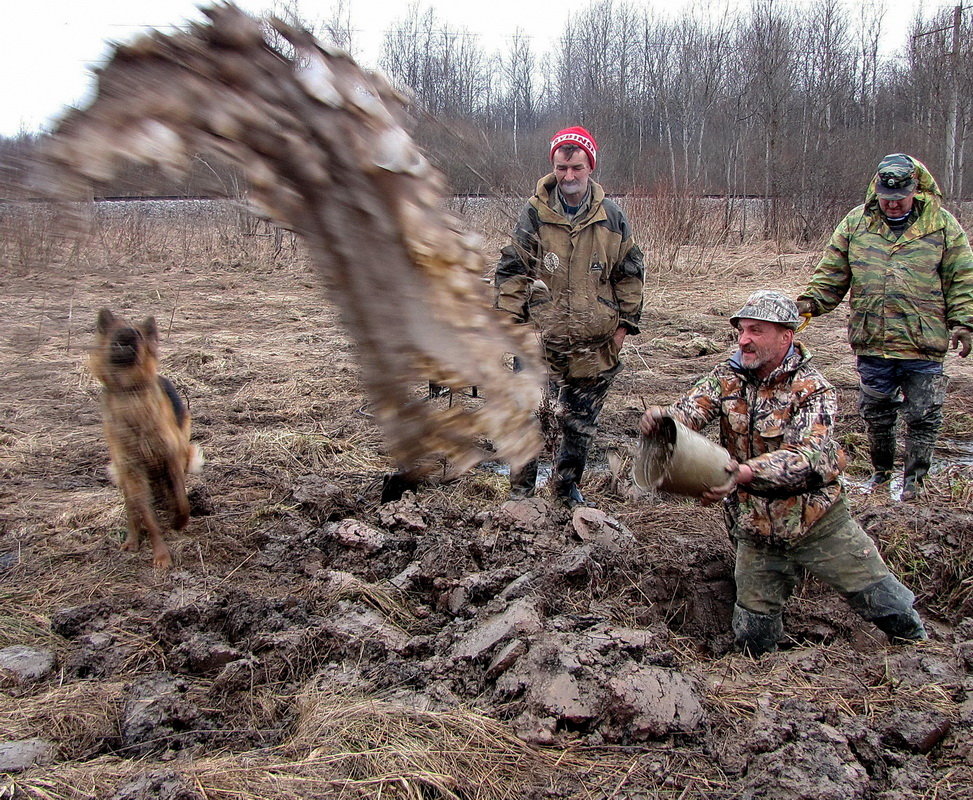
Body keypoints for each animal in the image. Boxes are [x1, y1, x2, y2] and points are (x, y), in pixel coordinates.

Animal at [90, 308, 201, 568]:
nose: (127, 333)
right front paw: (161, 554)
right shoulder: (133, 469)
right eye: (116, 330)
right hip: (124, 474)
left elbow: (181, 501)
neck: (130, 391)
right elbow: (148, 518)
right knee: (133, 508)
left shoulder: (171, 457)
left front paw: (178, 522)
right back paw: (132, 539)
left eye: (139, 333)